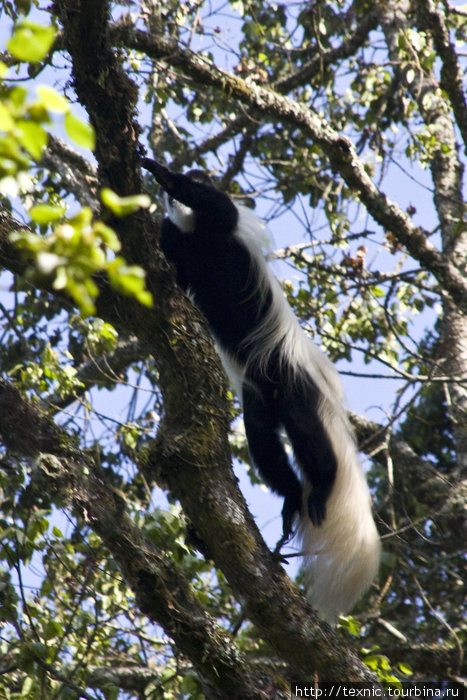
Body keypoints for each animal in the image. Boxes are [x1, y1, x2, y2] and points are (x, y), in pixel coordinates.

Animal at [142, 157, 380, 616]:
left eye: (198, 178)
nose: (183, 187)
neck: (196, 236)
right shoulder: (179, 248)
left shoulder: (224, 223)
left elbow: (220, 208)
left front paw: (160, 173)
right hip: (260, 396)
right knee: (264, 439)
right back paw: (291, 498)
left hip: (290, 379)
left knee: (307, 430)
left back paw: (323, 484)